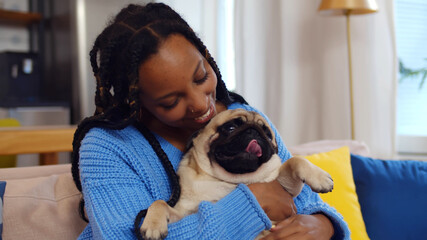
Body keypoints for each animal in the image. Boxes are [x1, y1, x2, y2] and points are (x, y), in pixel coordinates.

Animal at [140, 109, 334, 240]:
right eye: (231, 127)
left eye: (267, 133)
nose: (254, 131)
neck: (231, 180)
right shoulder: (183, 214)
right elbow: (159, 203)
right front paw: (153, 225)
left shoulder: (286, 187)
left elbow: (296, 161)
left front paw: (321, 178)